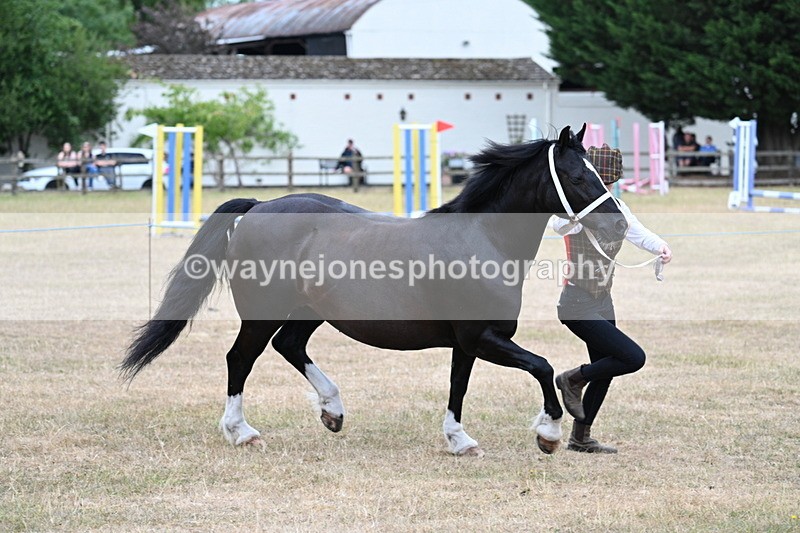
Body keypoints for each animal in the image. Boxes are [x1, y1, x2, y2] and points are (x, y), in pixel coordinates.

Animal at [121, 124, 628, 456]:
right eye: (578, 176)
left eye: (598, 173)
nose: (619, 225)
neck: (481, 239)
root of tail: (261, 205)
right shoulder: (484, 338)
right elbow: (542, 367)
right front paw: (548, 434)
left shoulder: (469, 341)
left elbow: (458, 386)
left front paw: (459, 440)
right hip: (263, 313)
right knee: (240, 358)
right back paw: (241, 431)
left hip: (309, 311)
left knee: (289, 346)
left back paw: (333, 410)